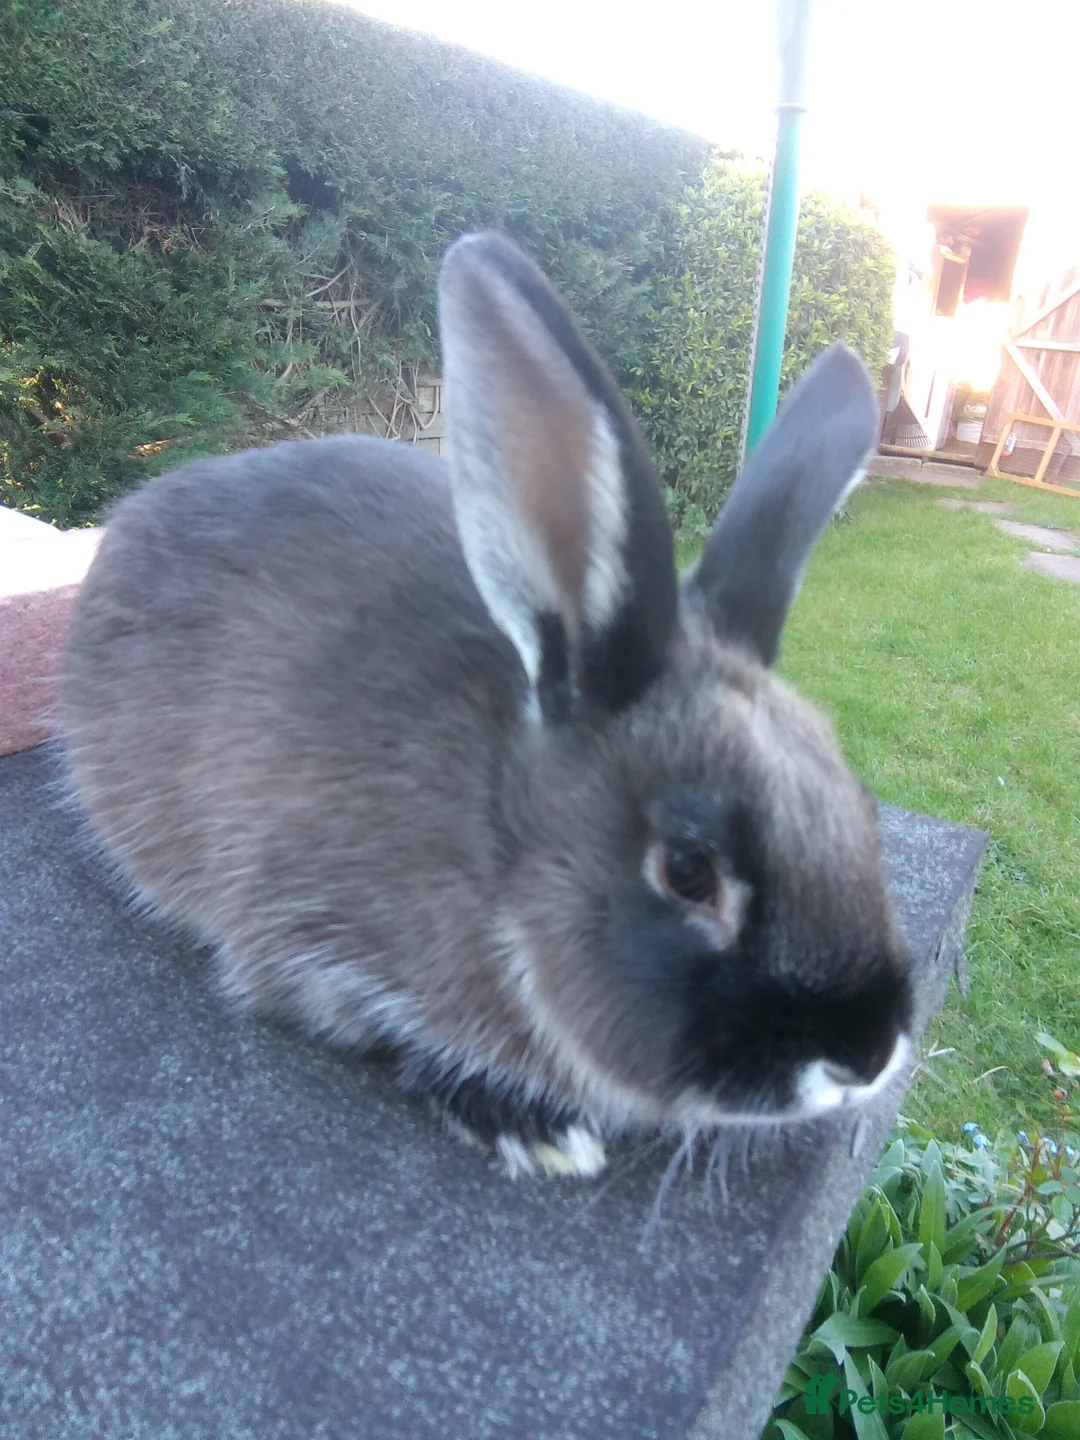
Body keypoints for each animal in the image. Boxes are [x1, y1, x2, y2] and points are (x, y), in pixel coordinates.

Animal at [60, 231, 913, 1179]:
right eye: (688, 871)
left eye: (861, 808)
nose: (867, 1051)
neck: (497, 851)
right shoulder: (310, 937)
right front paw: (535, 1131)